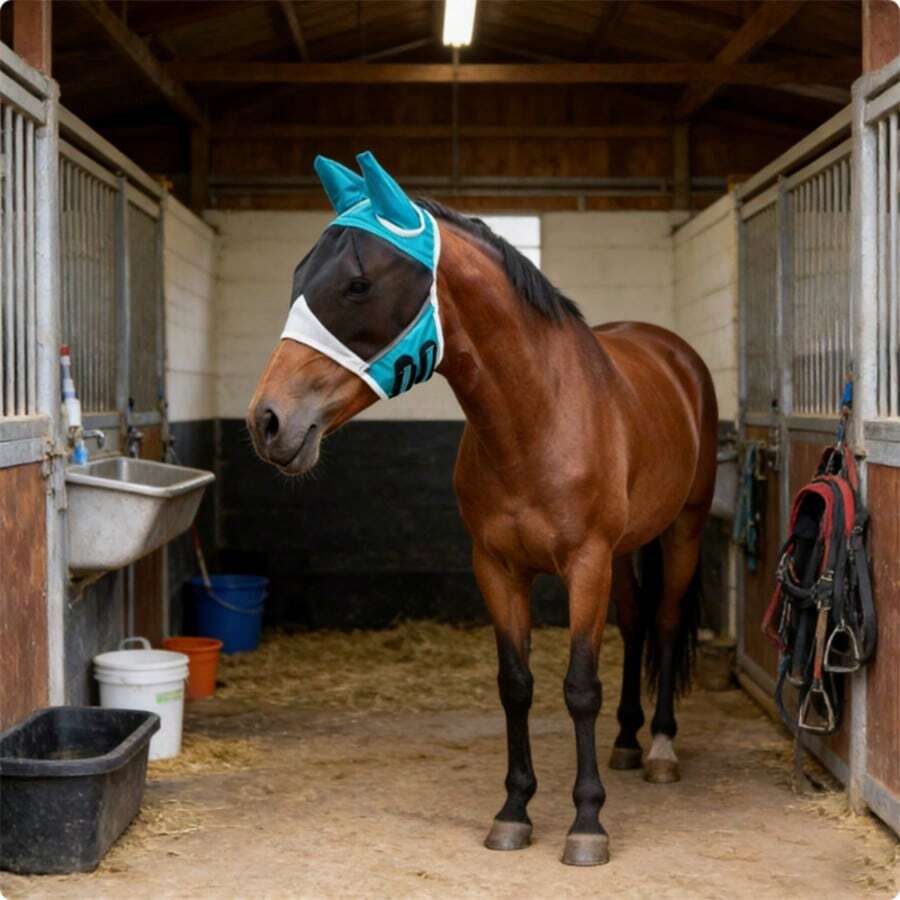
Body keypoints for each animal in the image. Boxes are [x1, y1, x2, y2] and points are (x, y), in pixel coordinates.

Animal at [247, 151, 718, 867]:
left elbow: (579, 687)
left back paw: (662, 746)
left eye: (357, 285)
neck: (537, 417)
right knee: (637, 626)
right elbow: (515, 685)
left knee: (662, 624)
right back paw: (628, 742)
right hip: (628, 549)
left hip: (682, 531)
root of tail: (673, 352)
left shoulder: (585, 565)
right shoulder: (497, 568)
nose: (268, 421)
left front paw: (587, 823)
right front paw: (515, 811)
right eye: (299, 279)